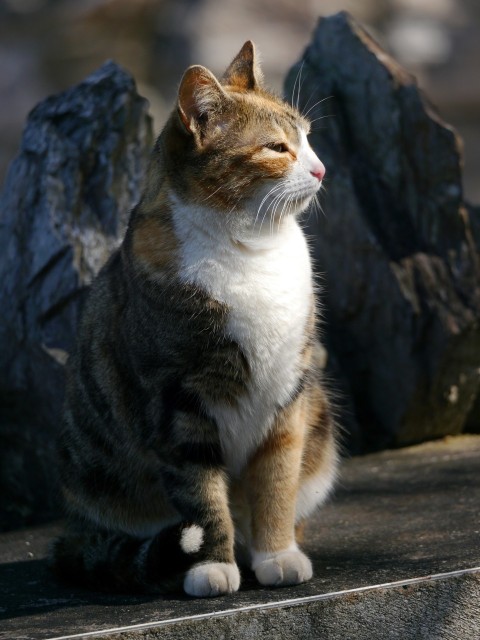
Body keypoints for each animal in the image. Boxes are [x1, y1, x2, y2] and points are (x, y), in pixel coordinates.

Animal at [51, 40, 338, 596]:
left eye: (309, 138)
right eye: (277, 148)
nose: (320, 170)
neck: (251, 248)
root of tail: (71, 528)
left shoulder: (289, 394)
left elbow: (276, 481)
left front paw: (277, 554)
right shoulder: (175, 402)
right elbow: (202, 497)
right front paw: (212, 566)